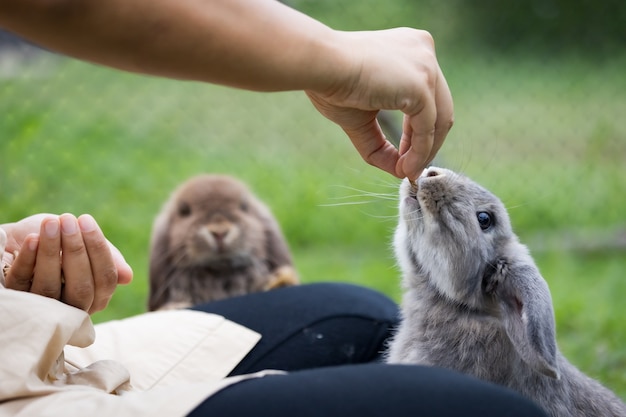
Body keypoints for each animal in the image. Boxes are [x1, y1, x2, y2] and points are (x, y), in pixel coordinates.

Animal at [149, 174, 300, 310]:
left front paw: (280, 281)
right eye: (185, 211)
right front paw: (175, 306)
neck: (220, 271)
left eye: (244, 207)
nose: (219, 232)